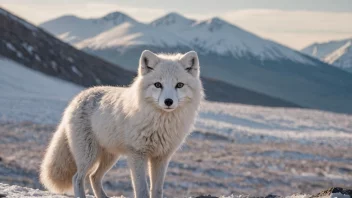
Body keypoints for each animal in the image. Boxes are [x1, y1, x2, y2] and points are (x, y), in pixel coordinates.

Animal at [39, 50, 204, 198]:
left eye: (179, 85)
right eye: (158, 84)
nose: (168, 102)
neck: (161, 123)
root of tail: (78, 97)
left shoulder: (162, 157)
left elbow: (157, 190)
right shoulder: (137, 154)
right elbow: (142, 190)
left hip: (110, 157)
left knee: (93, 177)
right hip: (89, 156)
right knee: (78, 178)